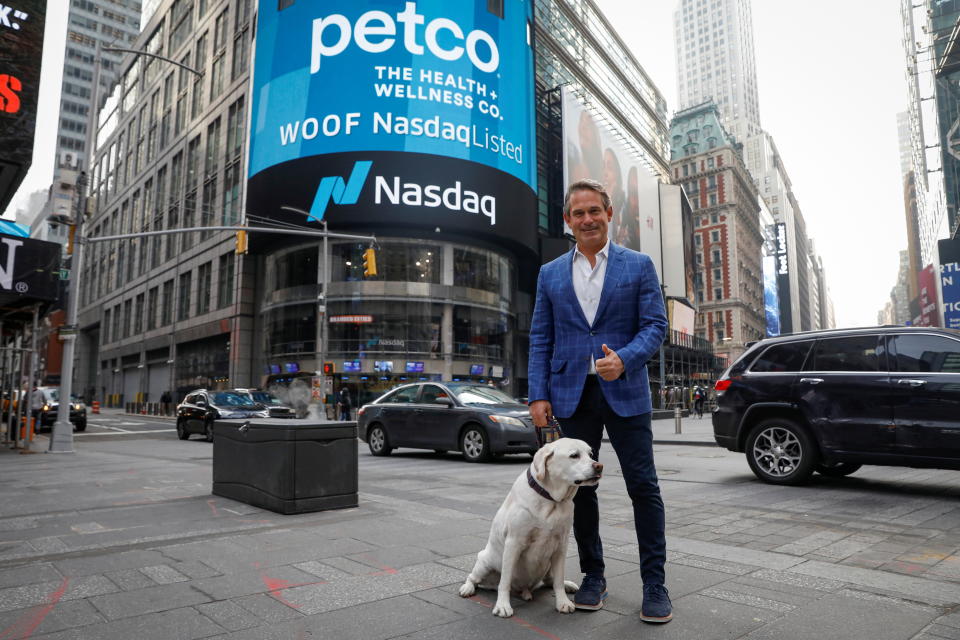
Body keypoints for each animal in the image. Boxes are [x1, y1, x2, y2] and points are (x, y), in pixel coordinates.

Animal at [456, 438, 600, 616]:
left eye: (591, 454)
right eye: (574, 455)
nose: (599, 466)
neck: (551, 500)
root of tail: (524, 589)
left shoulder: (561, 544)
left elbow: (558, 580)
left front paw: (563, 602)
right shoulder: (513, 543)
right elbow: (505, 581)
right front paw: (502, 605)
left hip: (548, 565)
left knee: (550, 580)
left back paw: (567, 585)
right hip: (484, 562)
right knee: (474, 578)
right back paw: (467, 588)